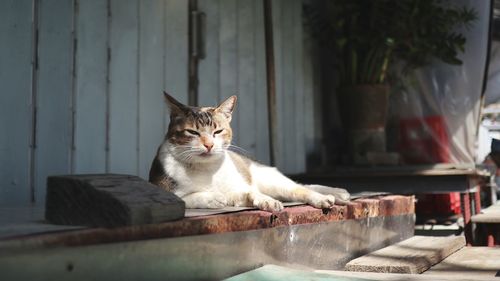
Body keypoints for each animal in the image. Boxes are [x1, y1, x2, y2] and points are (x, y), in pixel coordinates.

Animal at [150, 92, 350, 210]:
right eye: (192, 132)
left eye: (217, 132)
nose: (209, 145)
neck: (207, 169)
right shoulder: (167, 194)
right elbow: (189, 198)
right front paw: (213, 198)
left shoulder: (241, 187)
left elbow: (251, 192)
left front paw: (267, 201)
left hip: (271, 180)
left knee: (300, 187)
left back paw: (330, 196)